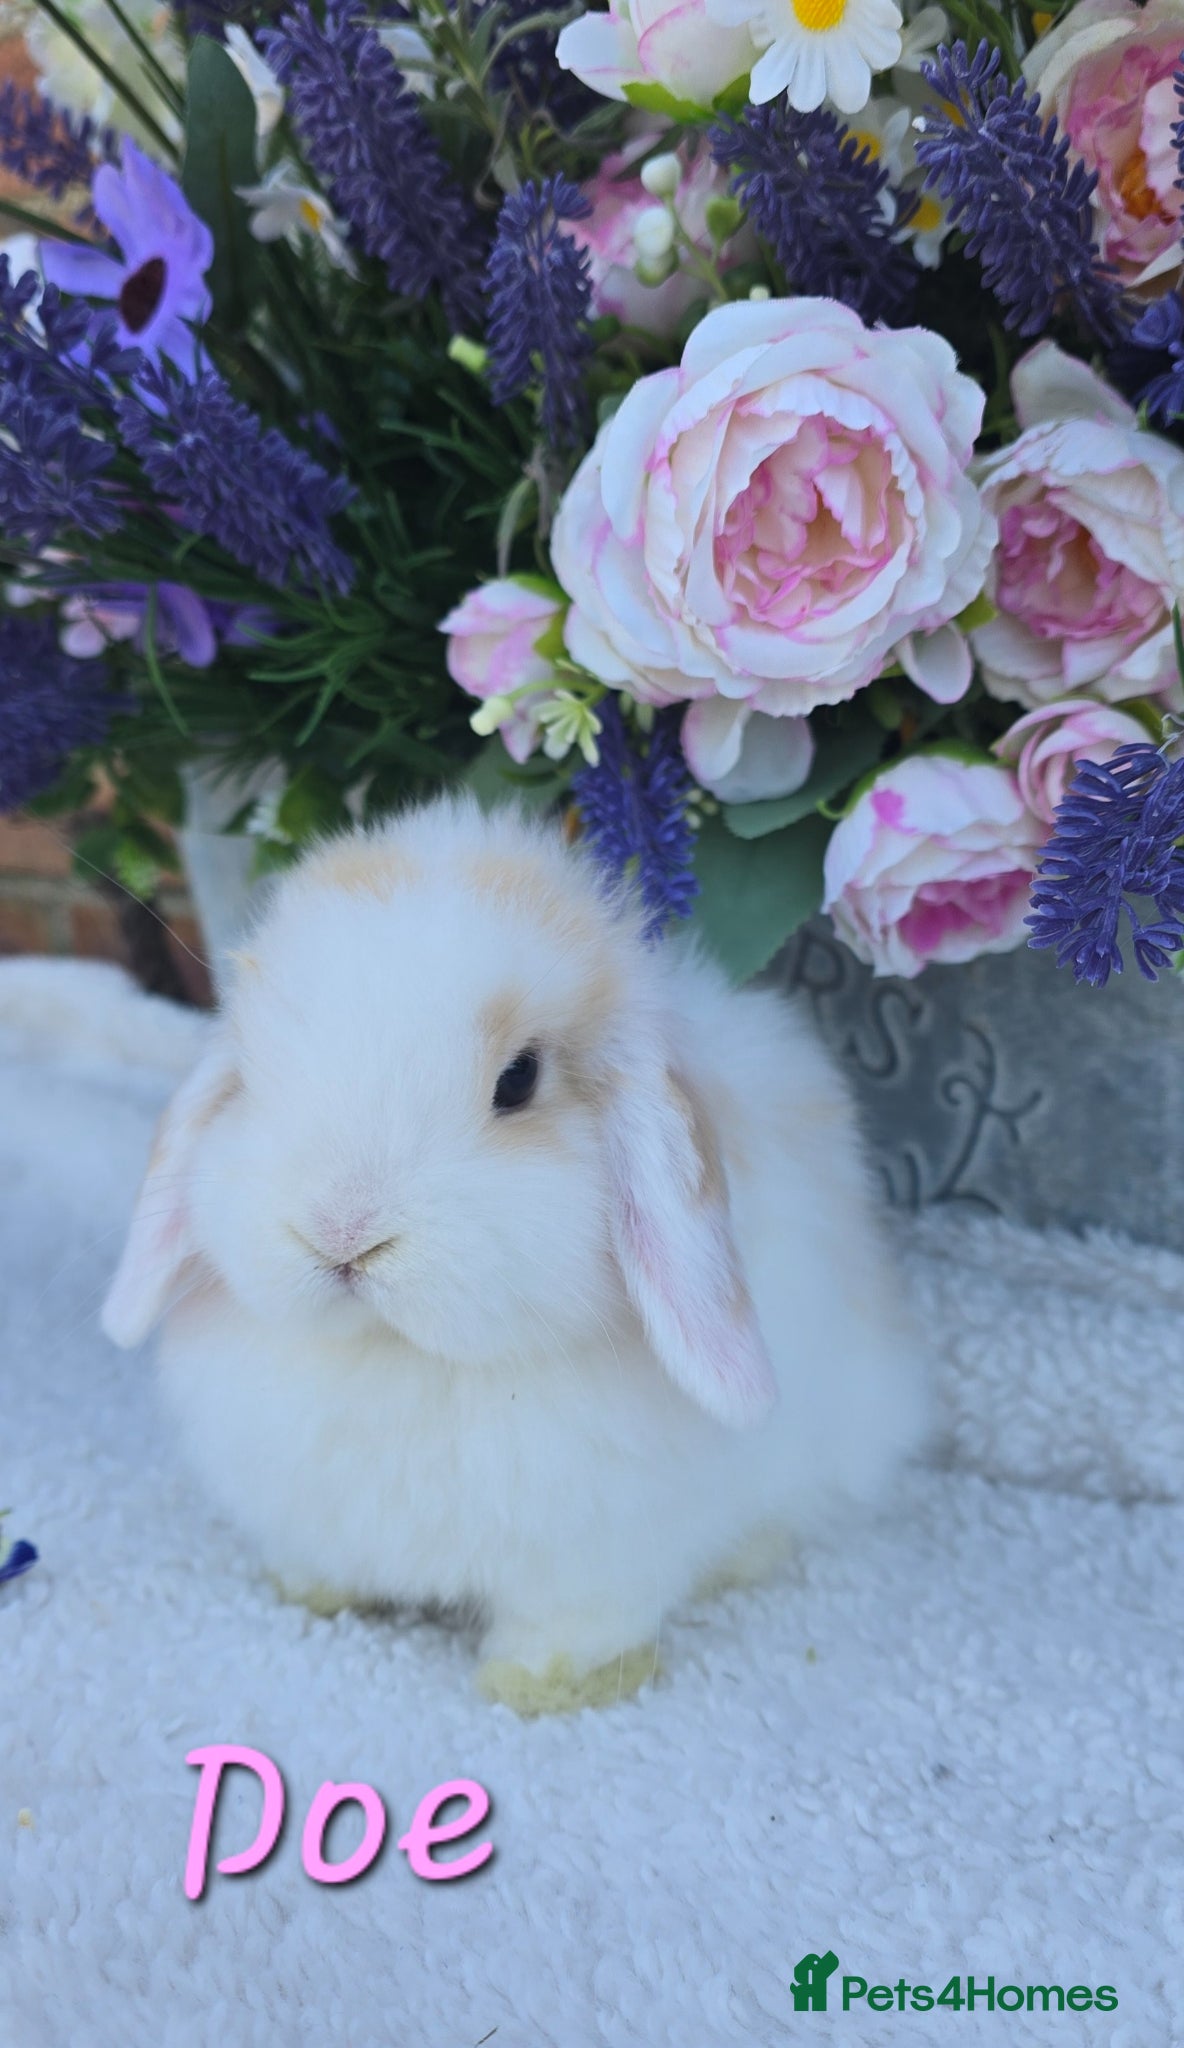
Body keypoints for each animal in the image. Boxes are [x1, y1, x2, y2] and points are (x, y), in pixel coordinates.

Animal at [101, 793, 930, 1715]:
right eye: (251, 1074)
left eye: (519, 1080)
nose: (341, 1232)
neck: (405, 1361)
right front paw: (313, 1592)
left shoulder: (597, 1560)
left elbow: (574, 1624)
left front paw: (543, 1685)